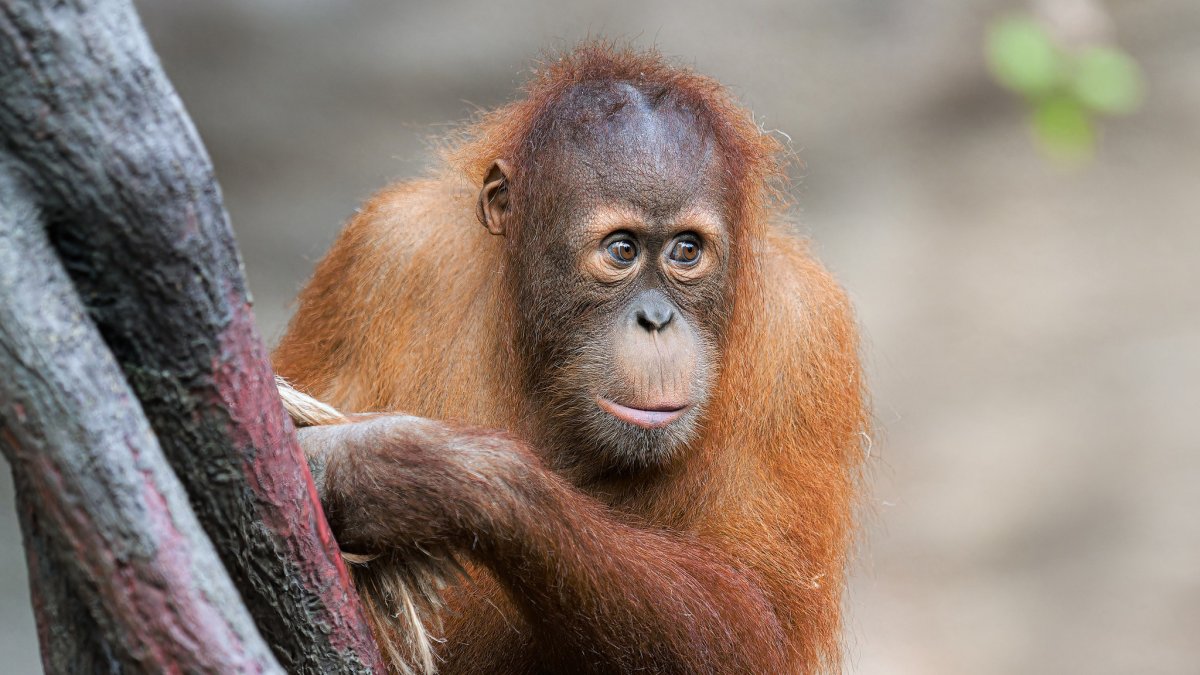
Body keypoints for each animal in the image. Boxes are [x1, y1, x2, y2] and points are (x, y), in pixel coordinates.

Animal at [273, 43, 867, 674]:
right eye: (622, 249)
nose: (656, 319)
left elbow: (758, 617)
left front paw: (410, 468)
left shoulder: (805, 334)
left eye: (686, 251)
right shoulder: (381, 249)